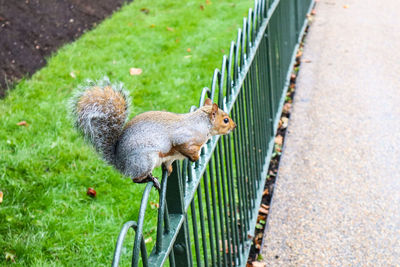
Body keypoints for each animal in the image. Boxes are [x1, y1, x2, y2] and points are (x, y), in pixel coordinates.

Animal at [70, 77, 236, 191]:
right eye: (225, 120)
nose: (234, 126)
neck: (202, 124)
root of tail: (120, 163)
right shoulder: (182, 139)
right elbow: (184, 148)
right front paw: (195, 158)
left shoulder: (171, 157)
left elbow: (169, 163)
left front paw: (169, 170)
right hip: (145, 160)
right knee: (135, 179)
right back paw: (150, 180)